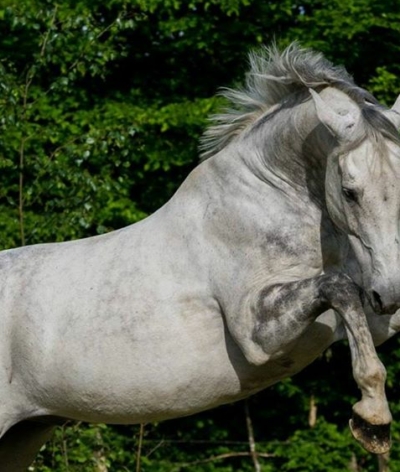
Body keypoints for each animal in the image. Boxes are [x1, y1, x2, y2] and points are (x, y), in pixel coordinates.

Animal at [0, 43, 400, 468]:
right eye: (349, 191)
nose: (389, 292)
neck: (272, 198)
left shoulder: (366, 317)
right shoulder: (257, 335)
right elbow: (339, 287)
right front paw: (373, 420)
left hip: (24, 433)